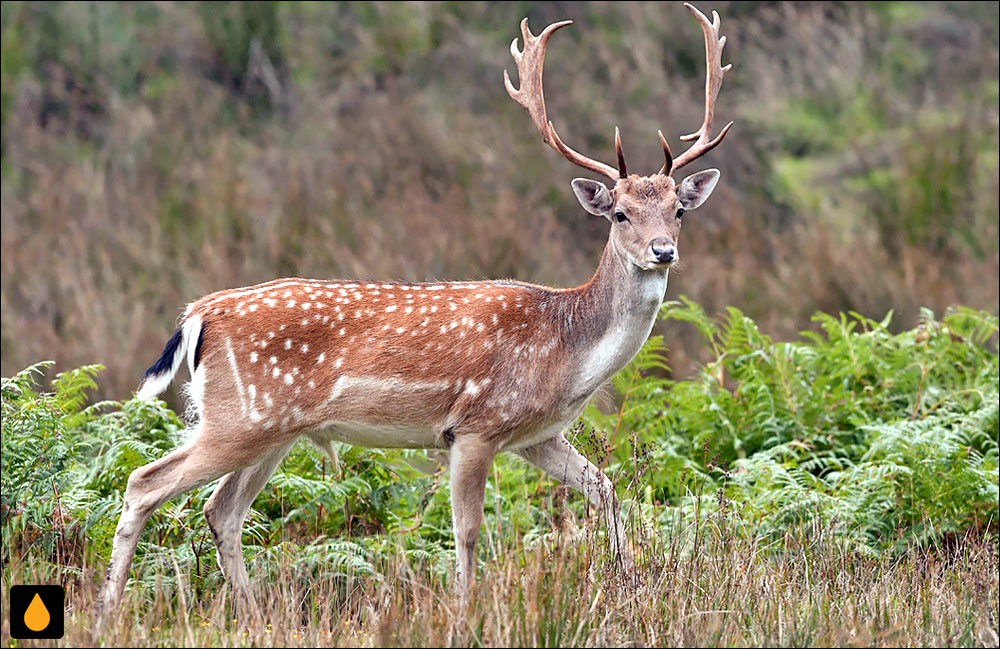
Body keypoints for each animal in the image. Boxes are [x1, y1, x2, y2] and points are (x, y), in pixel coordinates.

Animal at [95, 2, 736, 632]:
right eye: (620, 214)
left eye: (679, 210)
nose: (663, 251)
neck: (567, 351)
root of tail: (198, 313)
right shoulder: (475, 426)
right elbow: (468, 531)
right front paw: (464, 616)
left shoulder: (538, 436)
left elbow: (608, 489)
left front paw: (631, 590)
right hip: (238, 419)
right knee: (145, 483)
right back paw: (105, 616)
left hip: (274, 429)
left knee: (220, 509)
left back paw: (254, 621)